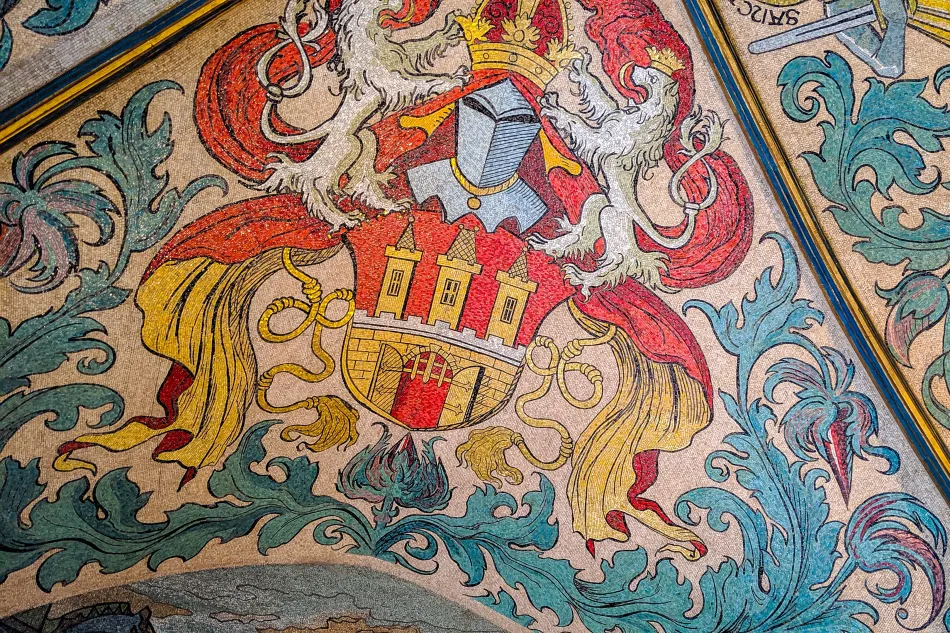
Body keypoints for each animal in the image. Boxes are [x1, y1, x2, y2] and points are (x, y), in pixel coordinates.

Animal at [256, 0, 470, 230]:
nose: (401, 4)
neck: (370, 38)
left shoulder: (403, 57)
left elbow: (423, 46)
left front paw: (451, 28)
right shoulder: (390, 82)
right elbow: (419, 83)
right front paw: (452, 79)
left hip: (364, 137)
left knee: (360, 175)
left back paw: (388, 205)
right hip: (347, 147)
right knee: (315, 182)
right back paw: (341, 219)